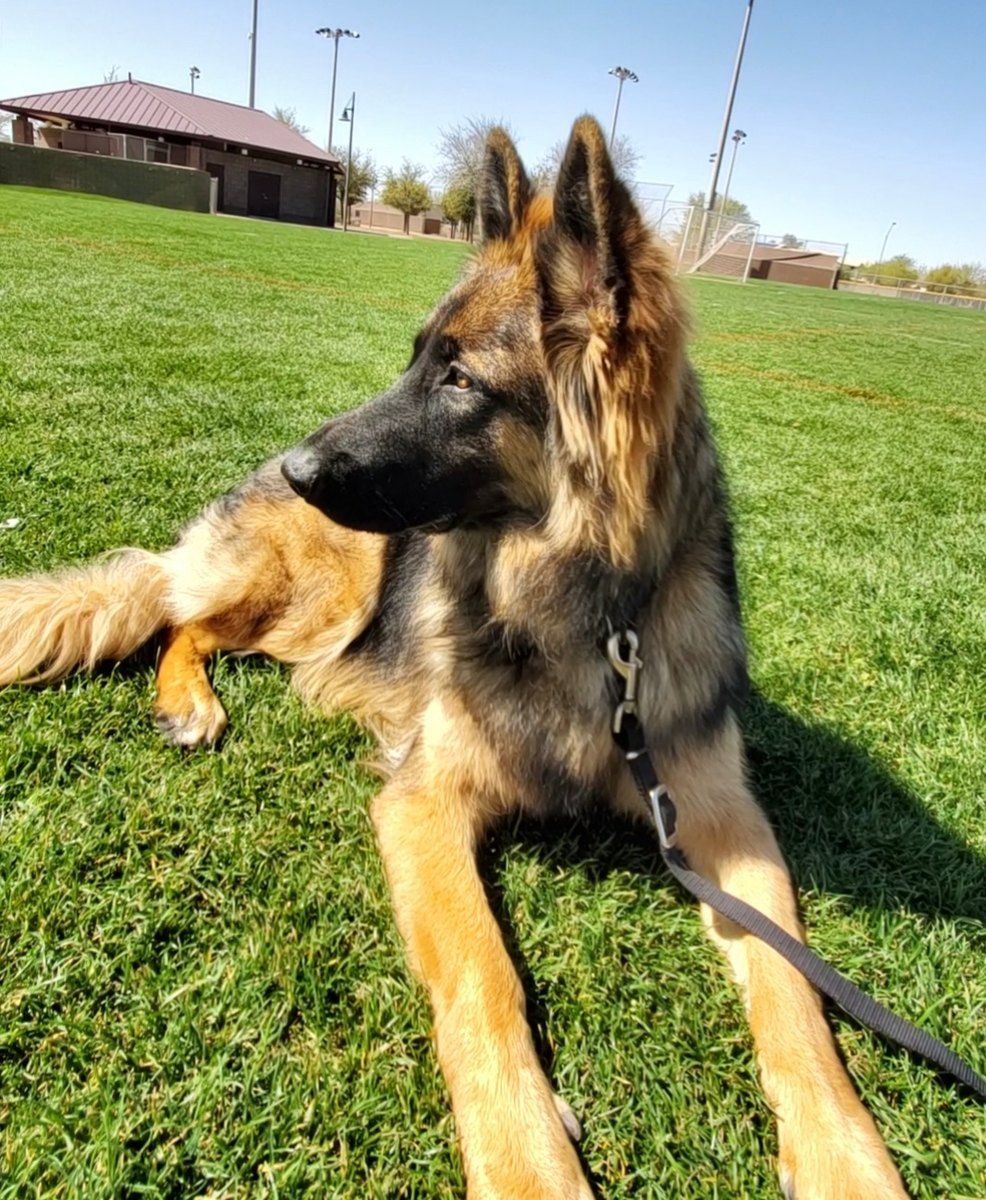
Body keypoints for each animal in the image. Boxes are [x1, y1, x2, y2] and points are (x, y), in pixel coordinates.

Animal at [0, 117, 907, 1199]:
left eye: (460, 379)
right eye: (414, 360)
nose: (299, 472)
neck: (583, 616)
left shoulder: (724, 825)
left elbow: (793, 994)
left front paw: (844, 1157)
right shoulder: (425, 802)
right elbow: (483, 972)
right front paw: (526, 1161)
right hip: (324, 588)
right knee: (180, 617)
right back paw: (193, 703)